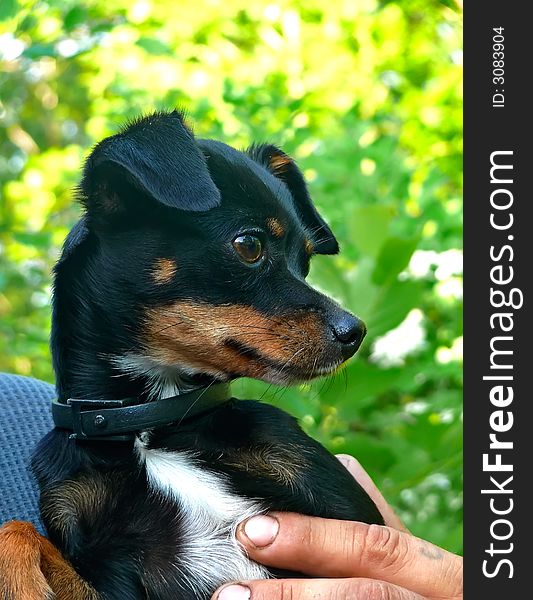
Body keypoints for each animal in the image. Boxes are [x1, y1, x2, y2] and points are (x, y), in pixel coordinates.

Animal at [2, 112, 382, 600]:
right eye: (248, 246)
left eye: (306, 262)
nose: (355, 332)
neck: (151, 422)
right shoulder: (109, 570)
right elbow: (14, 530)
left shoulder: (336, 507)